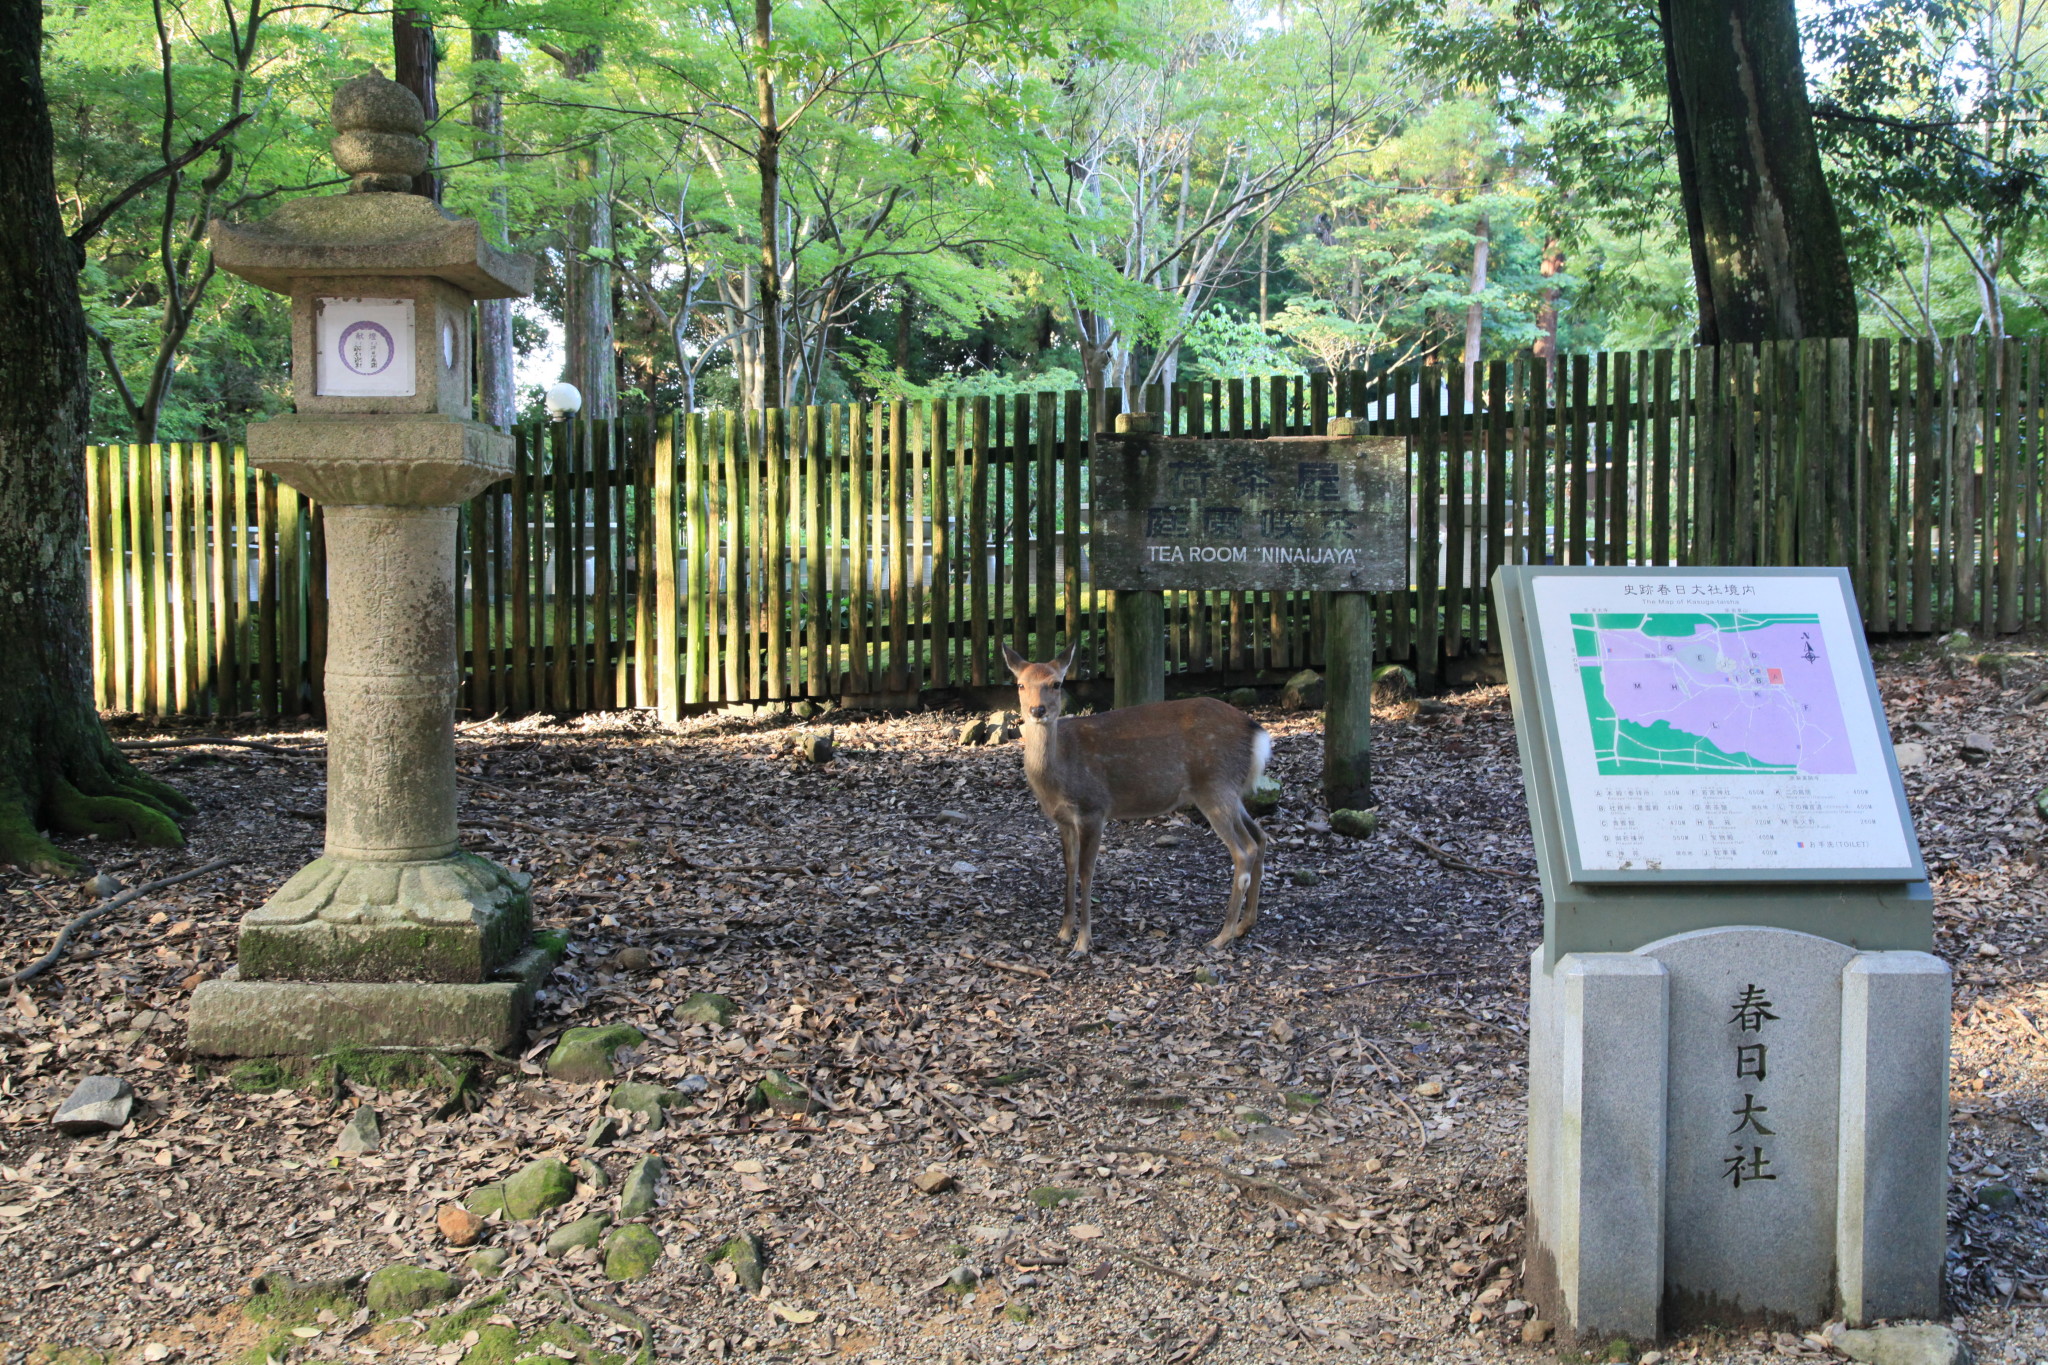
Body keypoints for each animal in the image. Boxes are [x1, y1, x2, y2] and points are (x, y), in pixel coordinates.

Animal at [1003, 642, 1269, 957]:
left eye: (1056, 684)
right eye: (1020, 684)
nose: (1037, 710)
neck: (1058, 773)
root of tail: (1258, 733)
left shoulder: (1094, 808)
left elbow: (1085, 872)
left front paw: (1082, 942)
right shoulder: (1063, 819)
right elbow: (1068, 869)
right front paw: (1063, 934)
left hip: (1215, 786)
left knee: (1244, 850)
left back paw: (1221, 937)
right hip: (1231, 791)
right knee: (1260, 836)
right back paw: (1245, 925)